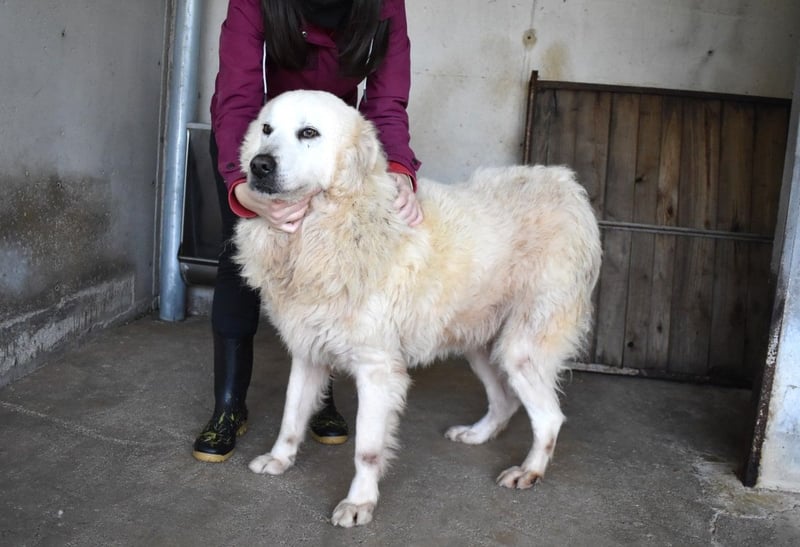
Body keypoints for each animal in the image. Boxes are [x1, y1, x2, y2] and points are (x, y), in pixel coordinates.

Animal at [233, 90, 602, 527]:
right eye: (266, 129)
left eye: (309, 133)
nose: (258, 165)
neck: (325, 228)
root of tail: (565, 185)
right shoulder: (308, 353)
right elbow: (291, 416)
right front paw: (279, 459)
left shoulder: (377, 370)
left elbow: (366, 449)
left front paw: (359, 503)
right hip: (480, 344)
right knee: (506, 402)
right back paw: (477, 435)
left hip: (520, 349)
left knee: (549, 417)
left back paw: (529, 471)